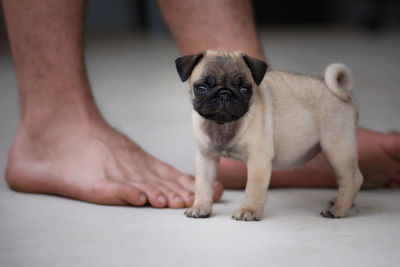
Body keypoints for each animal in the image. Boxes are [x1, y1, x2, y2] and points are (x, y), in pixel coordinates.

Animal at [175, 50, 362, 222]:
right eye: (201, 88)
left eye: (245, 89)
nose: (224, 95)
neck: (224, 125)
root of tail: (344, 92)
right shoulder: (206, 157)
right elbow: (203, 185)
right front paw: (200, 207)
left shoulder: (258, 159)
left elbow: (253, 188)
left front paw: (249, 210)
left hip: (337, 148)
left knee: (352, 179)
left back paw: (338, 208)